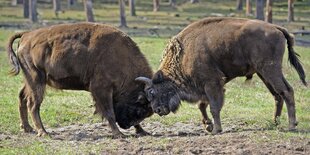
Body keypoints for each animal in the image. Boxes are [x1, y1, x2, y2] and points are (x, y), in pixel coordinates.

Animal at [8, 22, 155, 137]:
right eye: (140, 107)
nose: (125, 125)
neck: (121, 56)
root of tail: (27, 35)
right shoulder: (101, 89)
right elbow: (109, 112)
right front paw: (119, 134)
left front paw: (142, 131)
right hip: (37, 79)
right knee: (33, 104)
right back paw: (43, 132)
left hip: (30, 80)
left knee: (22, 96)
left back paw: (27, 128)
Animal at [138, 17, 308, 134]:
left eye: (152, 92)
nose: (158, 110)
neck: (182, 55)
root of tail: (276, 28)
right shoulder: (205, 87)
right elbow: (202, 105)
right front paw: (208, 125)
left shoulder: (212, 83)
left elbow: (214, 107)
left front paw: (215, 130)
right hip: (264, 74)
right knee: (278, 95)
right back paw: (275, 123)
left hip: (270, 70)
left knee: (287, 91)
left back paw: (291, 126)